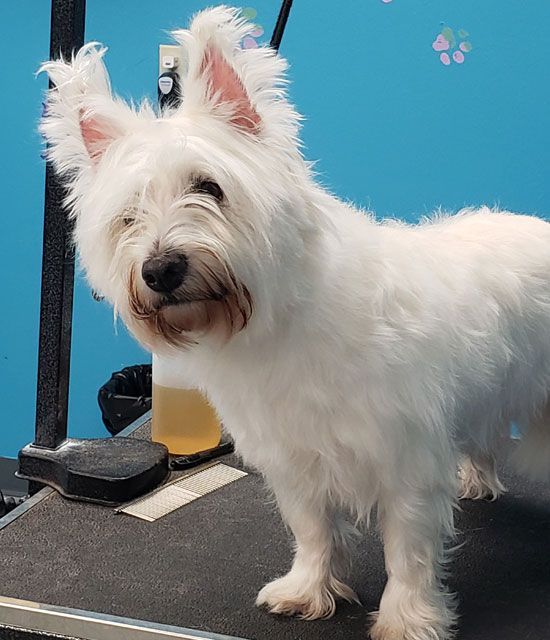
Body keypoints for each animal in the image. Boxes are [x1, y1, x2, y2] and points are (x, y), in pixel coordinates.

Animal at [40, 7, 550, 636]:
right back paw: (475, 477)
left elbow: (407, 550)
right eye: (127, 216)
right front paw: (308, 589)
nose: (159, 269)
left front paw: (407, 618)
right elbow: (312, 532)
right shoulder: (294, 461)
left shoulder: (404, 460)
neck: (279, 324)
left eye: (208, 187)